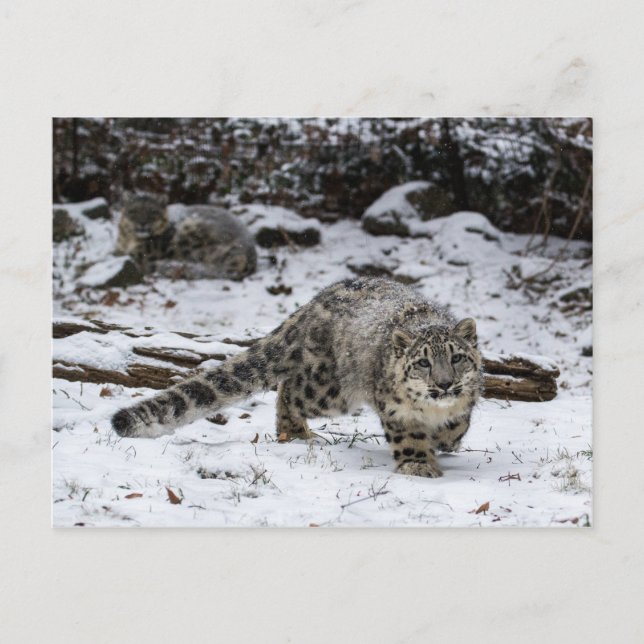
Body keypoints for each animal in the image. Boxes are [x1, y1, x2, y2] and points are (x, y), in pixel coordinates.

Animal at [111, 277, 482, 478]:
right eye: (423, 362)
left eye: (457, 358)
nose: (445, 384)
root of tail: (316, 300)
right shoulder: (396, 409)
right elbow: (408, 437)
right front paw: (419, 465)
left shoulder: (465, 400)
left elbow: (458, 424)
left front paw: (446, 439)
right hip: (331, 390)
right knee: (289, 390)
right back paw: (297, 432)